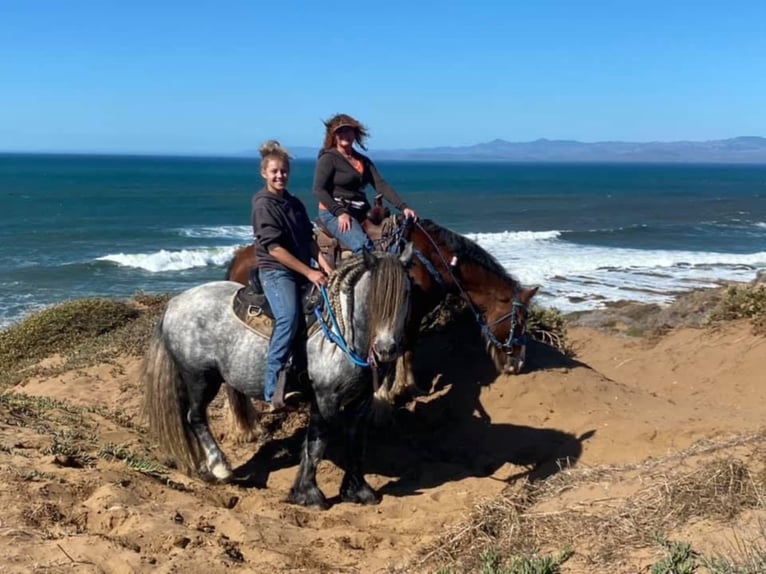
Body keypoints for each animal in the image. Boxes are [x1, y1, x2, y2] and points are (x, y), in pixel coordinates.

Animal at [143, 250, 416, 510]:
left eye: (406, 293)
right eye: (373, 297)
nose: (386, 350)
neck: (339, 335)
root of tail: (176, 302)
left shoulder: (361, 400)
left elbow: (355, 441)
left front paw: (358, 491)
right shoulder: (324, 397)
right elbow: (317, 444)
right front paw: (309, 495)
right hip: (200, 377)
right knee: (196, 417)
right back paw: (220, 467)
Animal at [228, 218, 540, 402]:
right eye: (519, 320)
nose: (518, 364)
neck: (430, 261)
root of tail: (240, 258)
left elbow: (404, 349)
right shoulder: (411, 314)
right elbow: (407, 349)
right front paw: (406, 388)